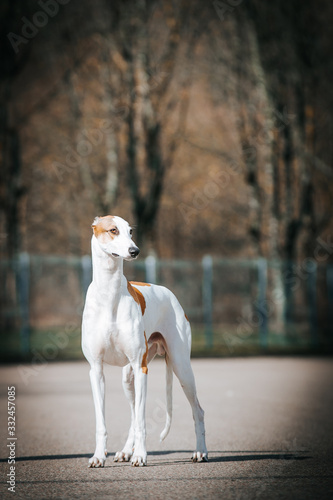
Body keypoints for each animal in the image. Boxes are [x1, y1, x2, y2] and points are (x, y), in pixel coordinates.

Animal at [81, 216, 206, 468]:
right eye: (113, 230)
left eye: (130, 231)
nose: (134, 250)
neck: (109, 293)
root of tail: (169, 293)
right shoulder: (96, 370)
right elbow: (102, 422)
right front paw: (99, 456)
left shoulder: (142, 368)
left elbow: (141, 421)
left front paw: (140, 455)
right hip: (128, 378)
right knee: (132, 413)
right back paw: (125, 451)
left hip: (180, 367)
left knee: (197, 410)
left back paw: (200, 452)